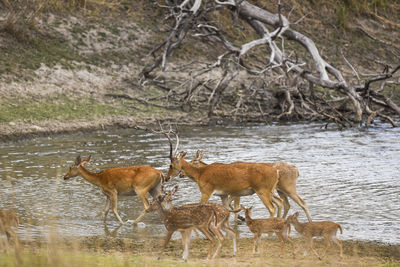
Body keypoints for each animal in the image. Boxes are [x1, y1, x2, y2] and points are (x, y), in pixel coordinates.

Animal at [184, 150, 312, 223]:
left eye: (193, 162)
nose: (181, 173)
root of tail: (297, 170)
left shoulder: (235, 193)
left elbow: (233, 206)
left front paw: (239, 219)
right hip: (278, 191)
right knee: (285, 204)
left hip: (287, 188)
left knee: (301, 203)